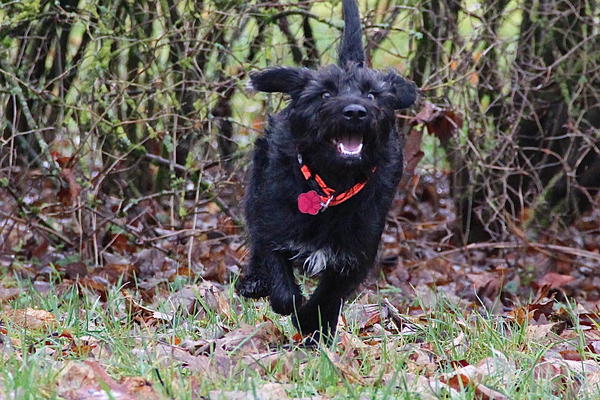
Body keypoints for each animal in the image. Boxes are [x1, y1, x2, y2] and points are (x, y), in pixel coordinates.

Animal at [237, 0, 414, 342]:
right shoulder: (273, 227)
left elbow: (329, 295)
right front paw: (292, 307)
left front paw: (313, 325)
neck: (331, 185)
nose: (355, 112)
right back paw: (253, 282)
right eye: (326, 94)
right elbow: (280, 279)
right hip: (255, 190)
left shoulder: (356, 254)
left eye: (372, 95)